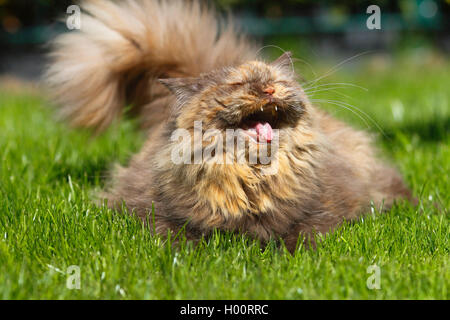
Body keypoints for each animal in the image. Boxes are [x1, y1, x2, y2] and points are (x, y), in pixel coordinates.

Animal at [44, 0, 414, 251]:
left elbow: (302, 234)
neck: (252, 181)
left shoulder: (324, 209)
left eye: (278, 80)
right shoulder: (156, 212)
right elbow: (179, 238)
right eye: (239, 85)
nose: (268, 88)